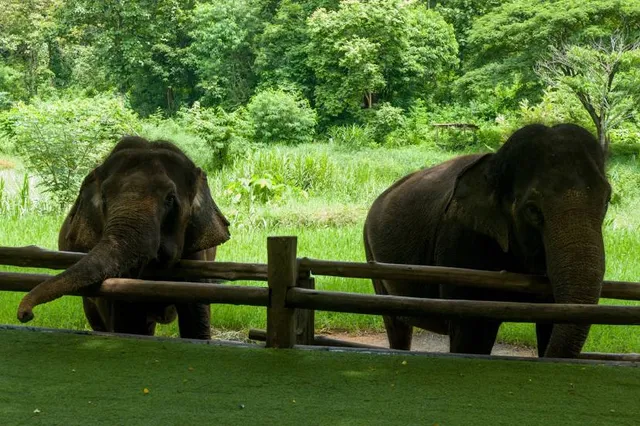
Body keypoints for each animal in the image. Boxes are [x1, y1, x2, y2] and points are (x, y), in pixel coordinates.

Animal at [17, 136, 231, 339]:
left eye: (170, 198)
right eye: (104, 197)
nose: (25, 314)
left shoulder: (197, 257)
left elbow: (195, 318)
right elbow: (128, 321)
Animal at [363, 123, 610, 358]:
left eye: (607, 201)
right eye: (532, 210)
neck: (494, 163)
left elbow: (553, 322)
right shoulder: (460, 242)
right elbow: (472, 335)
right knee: (395, 323)